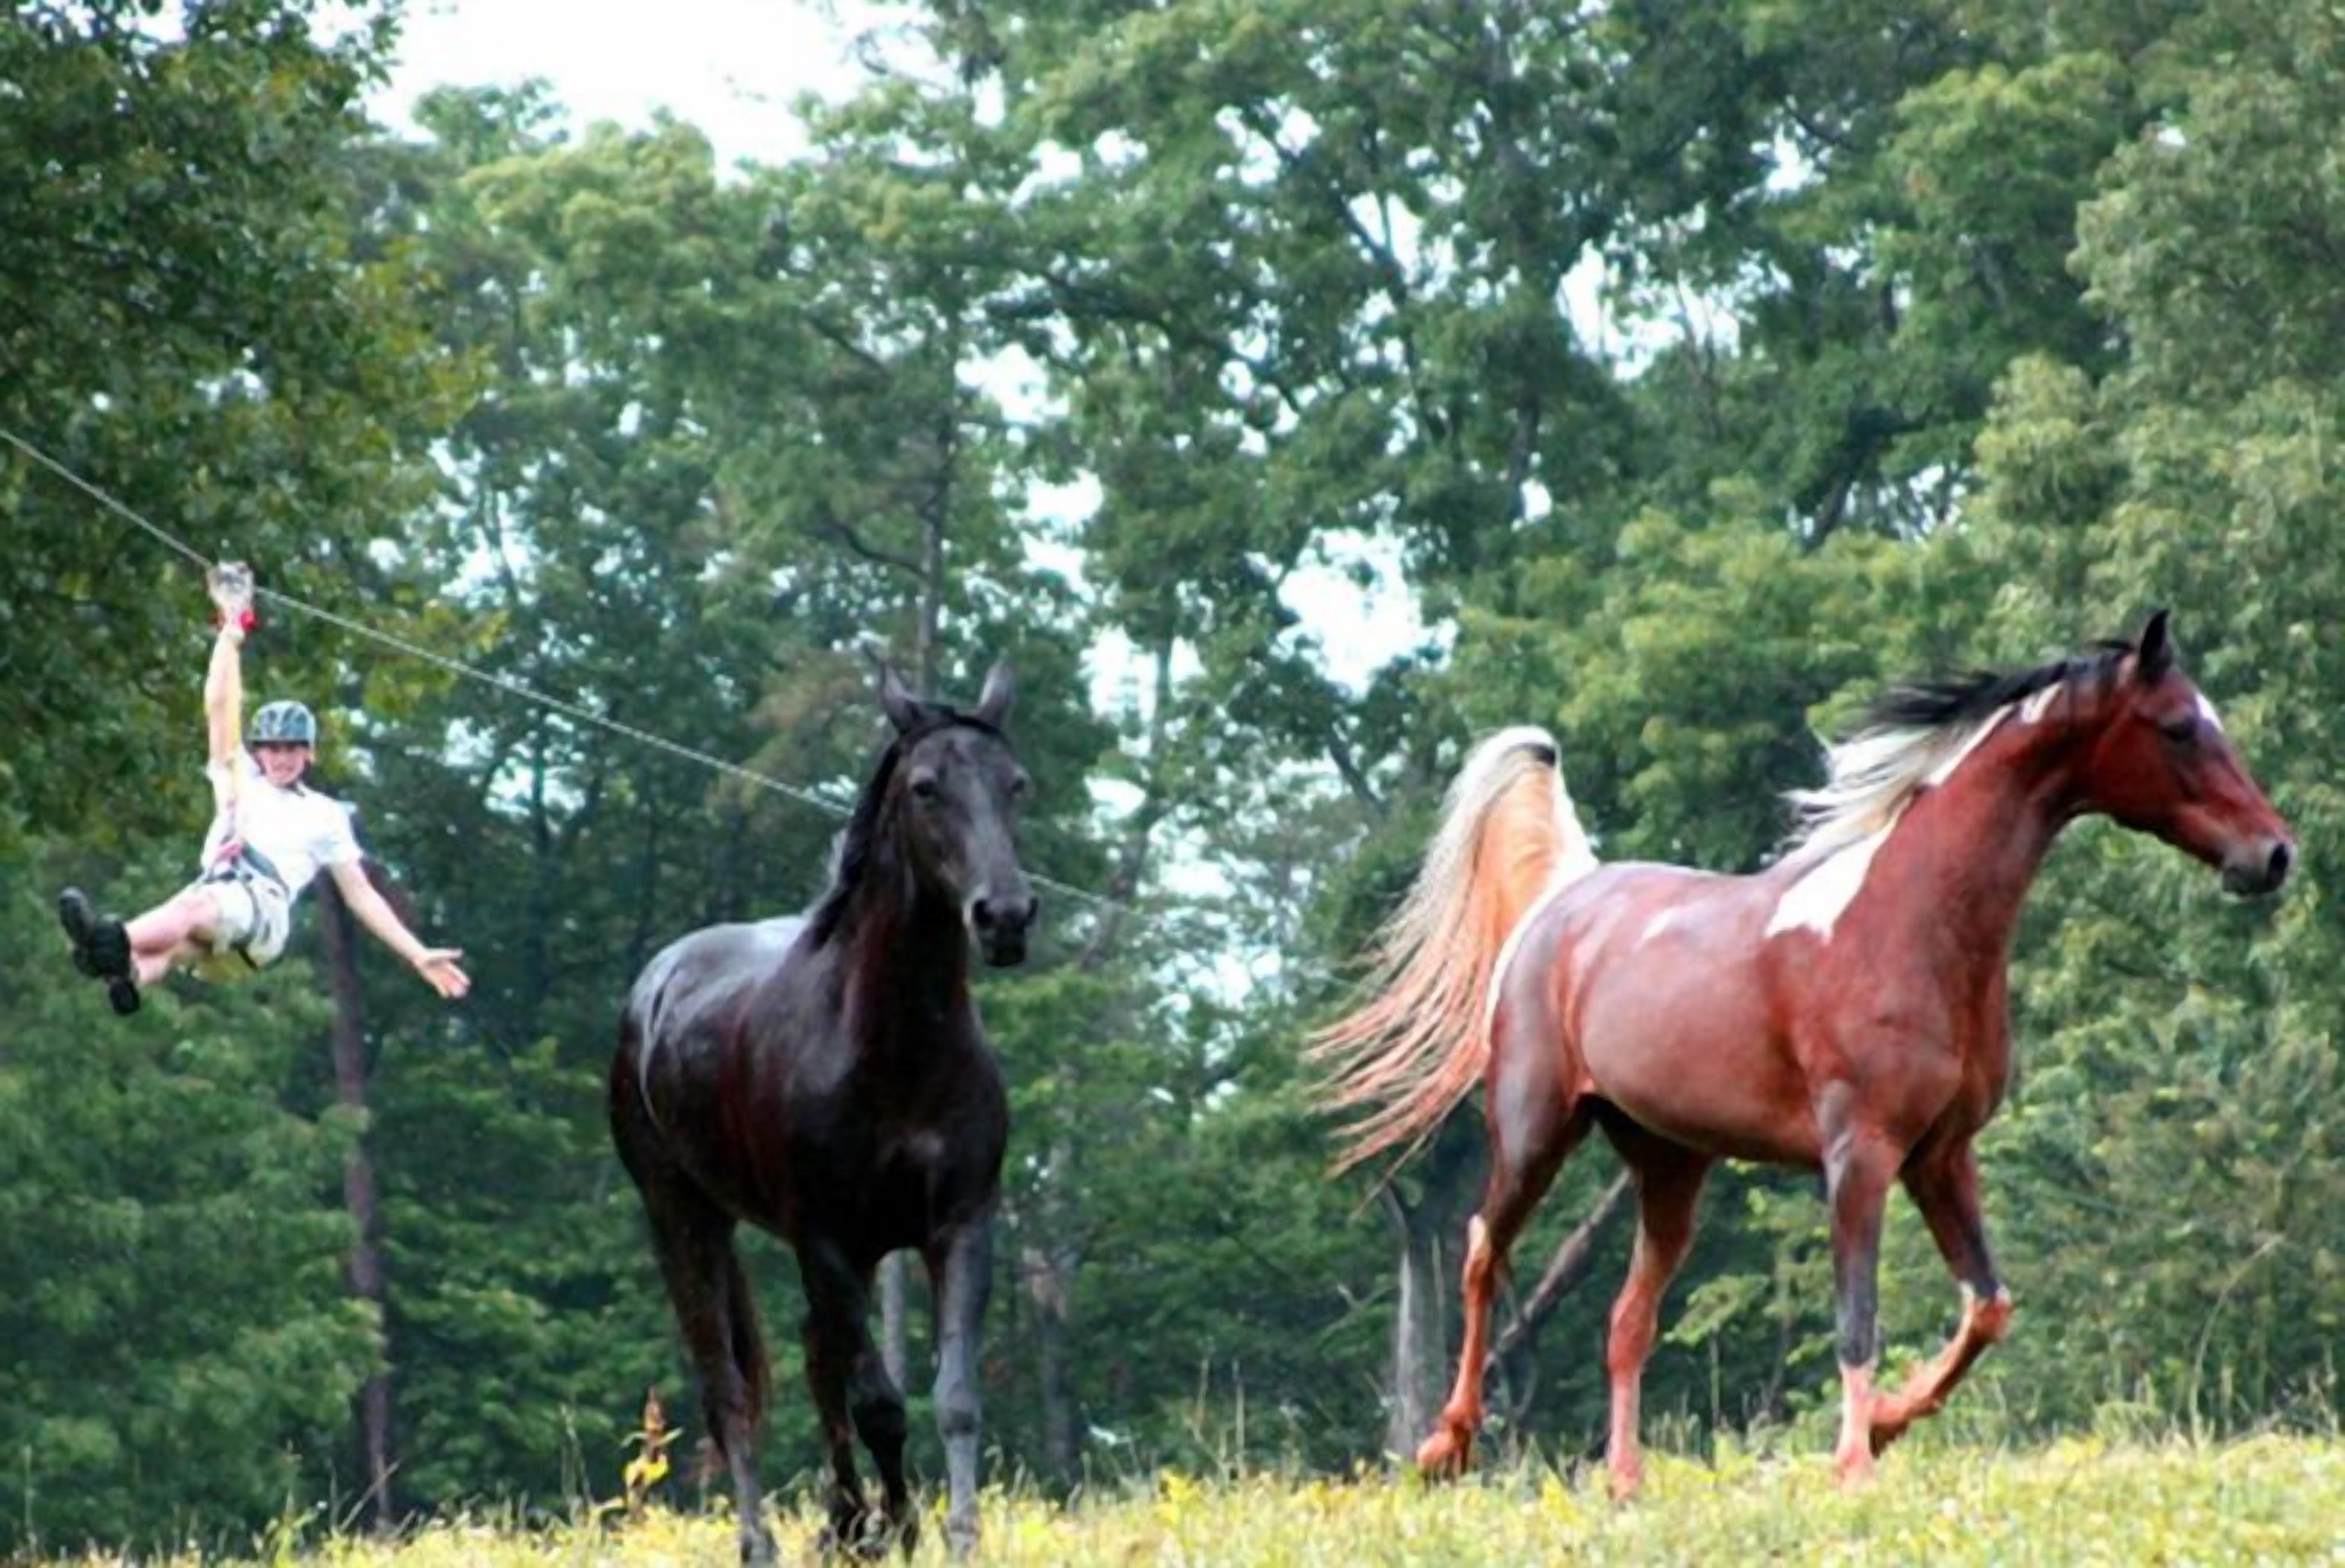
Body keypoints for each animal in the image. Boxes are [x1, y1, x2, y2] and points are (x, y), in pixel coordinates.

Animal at [610, 662, 1035, 1563]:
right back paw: (763, 1541)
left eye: (1015, 784)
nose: (1005, 917)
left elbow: (951, 1396)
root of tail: (655, 985)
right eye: (925, 787)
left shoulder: (958, 1225)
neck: (892, 1048)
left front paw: (950, 1534)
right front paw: (901, 1528)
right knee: (729, 1386)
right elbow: (878, 1401)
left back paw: (842, 1522)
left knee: (815, 1362)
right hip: (682, 1218)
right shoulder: (827, 1240)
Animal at [1313, 611, 2294, 1495]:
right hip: (1532, 1132)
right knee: (1482, 1253)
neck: (1906, 924)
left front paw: (1891, 1423)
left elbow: (1986, 1306)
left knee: (1626, 1319)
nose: (2272, 855)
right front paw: (1853, 1460)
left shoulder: (1940, 1155)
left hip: (1668, 1167)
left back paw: (1625, 1480)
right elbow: (1855, 1315)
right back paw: (1445, 1444)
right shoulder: (1858, 1154)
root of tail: (1565, 895)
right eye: (2177, 726)